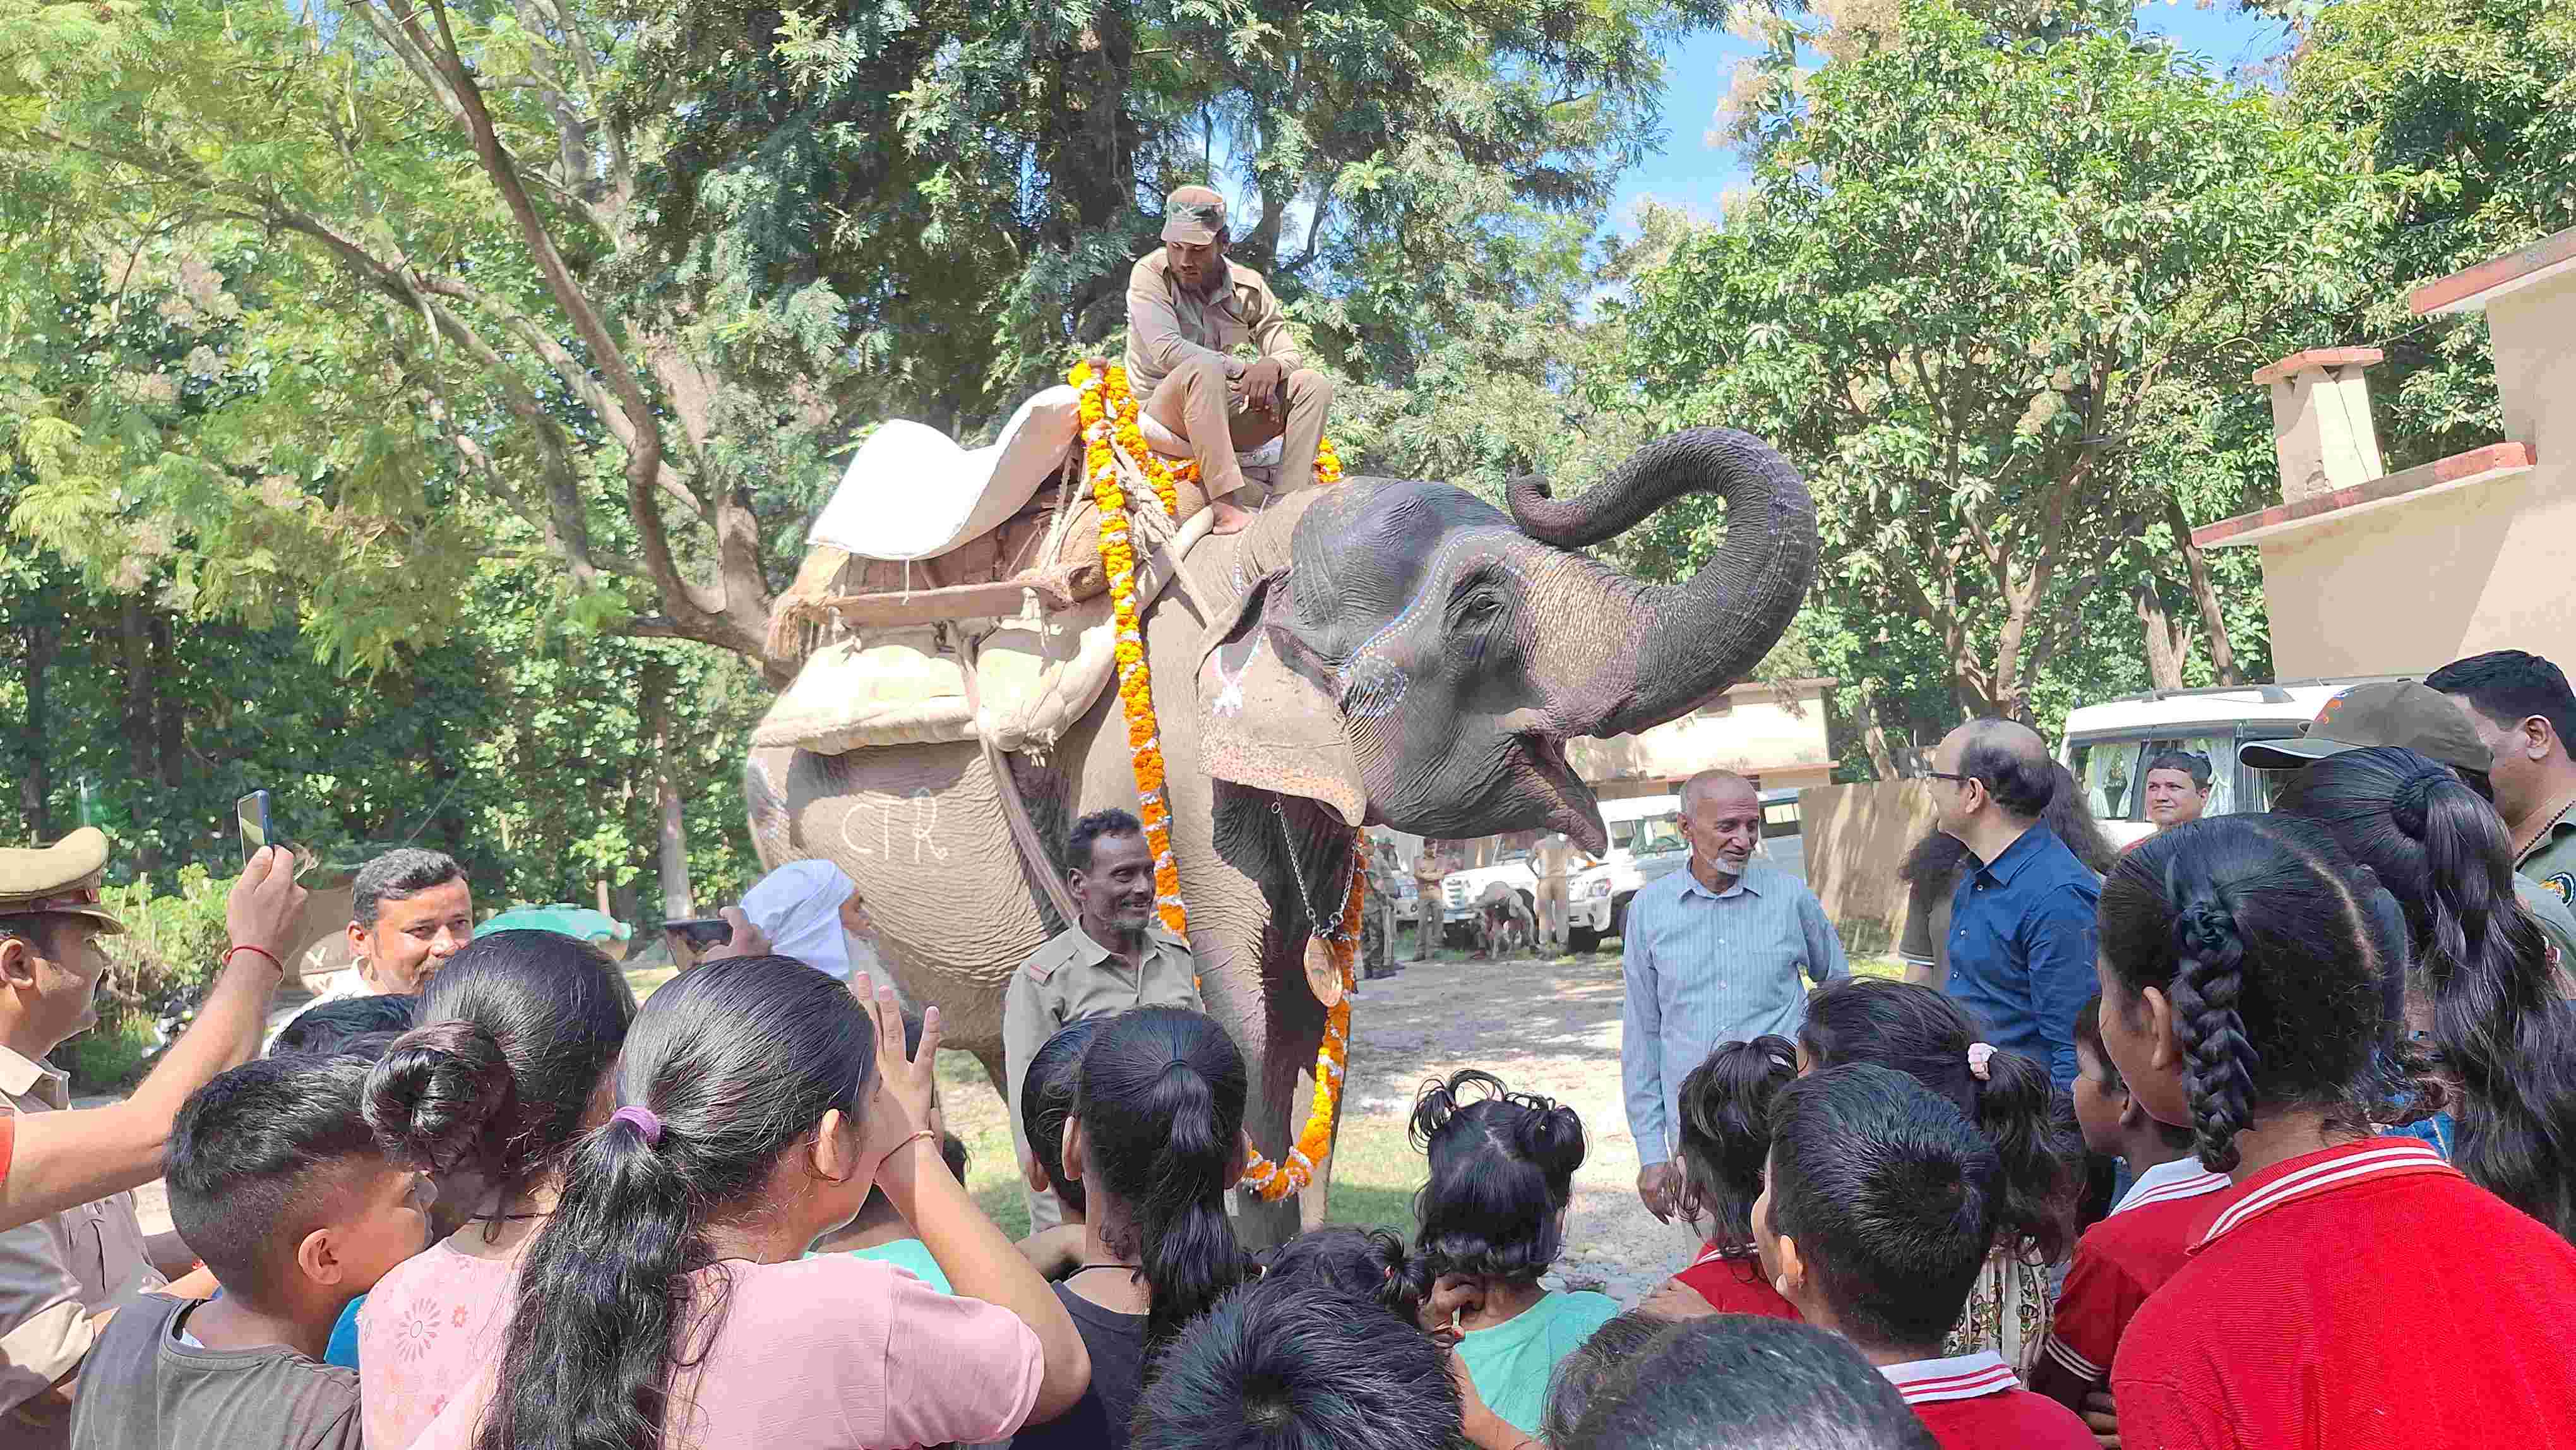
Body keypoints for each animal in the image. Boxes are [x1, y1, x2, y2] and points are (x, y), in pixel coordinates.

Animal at [747, 424, 1823, 1241]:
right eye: (1480, 608)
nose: (1538, 478)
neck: (1257, 562)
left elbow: (1309, 1031)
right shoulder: (1178, 790)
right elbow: (1243, 1033)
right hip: (792, 855)